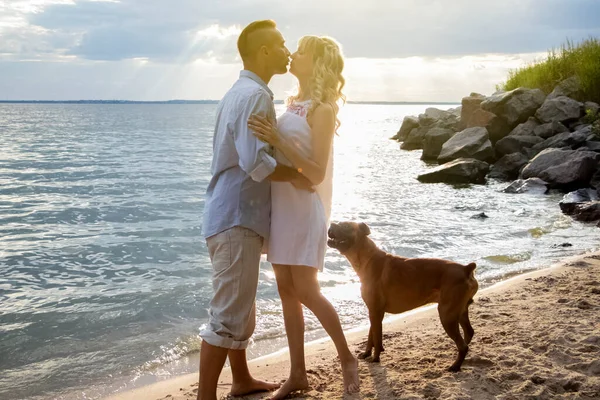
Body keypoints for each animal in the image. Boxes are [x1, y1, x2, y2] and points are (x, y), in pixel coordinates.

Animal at [328, 222, 478, 372]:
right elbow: (372, 335)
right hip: (460, 312)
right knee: (468, 333)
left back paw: (455, 366)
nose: (331, 223)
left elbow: (377, 337)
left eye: (345, 226)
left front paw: (375, 358)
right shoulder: (374, 311)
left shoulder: (375, 311)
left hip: (447, 315)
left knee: (463, 345)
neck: (366, 257)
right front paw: (366, 353)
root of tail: (466, 269)